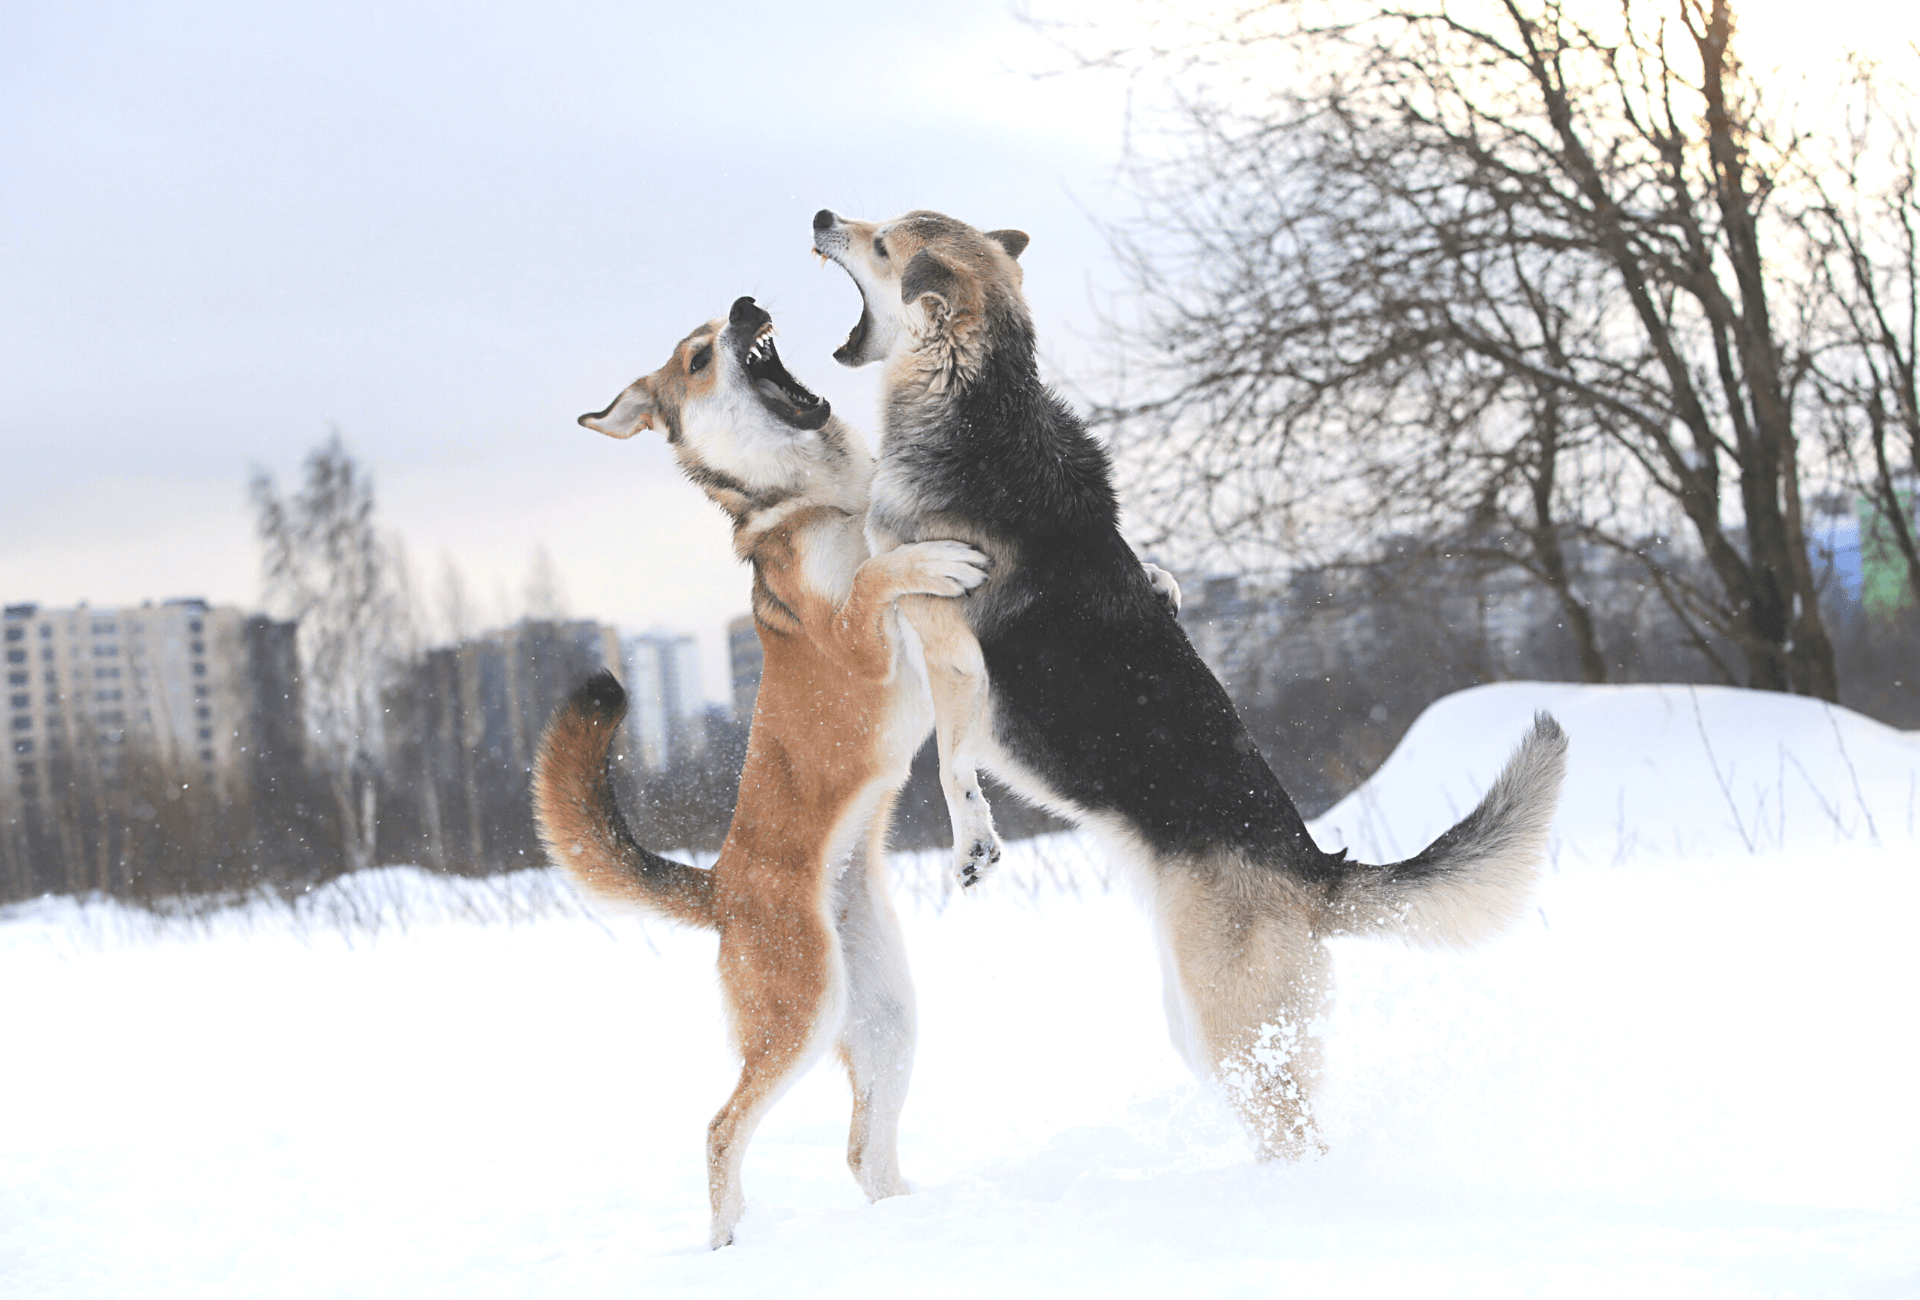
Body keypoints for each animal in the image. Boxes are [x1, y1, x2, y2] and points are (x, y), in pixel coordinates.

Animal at [537, 295, 990, 1244]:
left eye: (722, 321)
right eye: (700, 357)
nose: (747, 307)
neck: (825, 495)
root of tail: (721, 888)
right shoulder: (858, 644)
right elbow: (878, 577)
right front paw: (927, 560)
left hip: (886, 1017)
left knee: (863, 1154)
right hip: (801, 1015)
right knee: (721, 1129)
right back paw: (724, 1242)